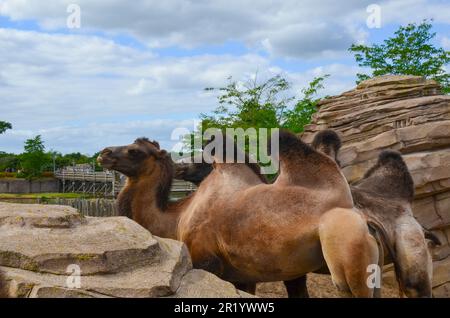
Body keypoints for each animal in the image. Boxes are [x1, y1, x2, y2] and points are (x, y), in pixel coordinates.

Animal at [98, 132, 380, 298]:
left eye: (135, 151)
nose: (104, 153)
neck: (175, 219)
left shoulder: (206, 261)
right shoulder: (243, 274)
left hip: (347, 252)